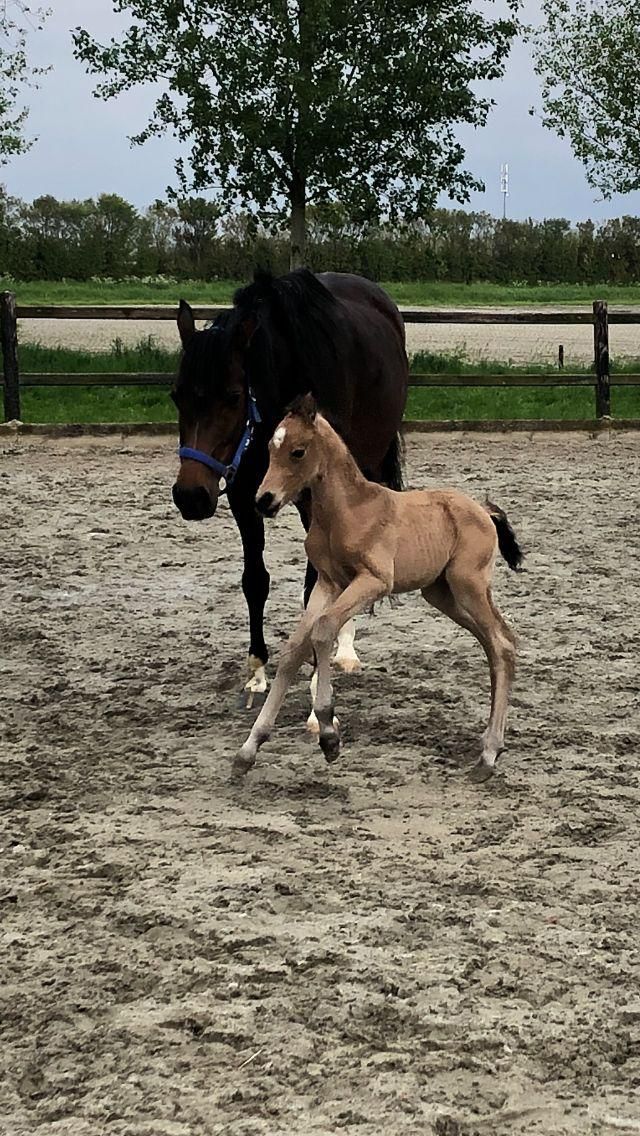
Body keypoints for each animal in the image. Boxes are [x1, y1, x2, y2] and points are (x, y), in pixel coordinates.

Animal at [171, 269, 408, 705]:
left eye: (233, 396)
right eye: (176, 394)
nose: (190, 496)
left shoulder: (317, 503)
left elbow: (316, 584)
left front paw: (317, 674)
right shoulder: (244, 498)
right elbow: (255, 580)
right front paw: (256, 671)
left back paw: (345, 650)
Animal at [236, 394, 523, 782]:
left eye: (298, 451)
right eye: (269, 448)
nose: (263, 500)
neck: (346, 512)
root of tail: (482, 510)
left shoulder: (373, 581)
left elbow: (324, 630)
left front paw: (329, 735)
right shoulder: (328, 583)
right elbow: (295, 649)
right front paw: (249, 749)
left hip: (468, 586)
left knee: (502, 645)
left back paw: (490, 754)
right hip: (442, 594)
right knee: (495, 645)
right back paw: (490, 748)